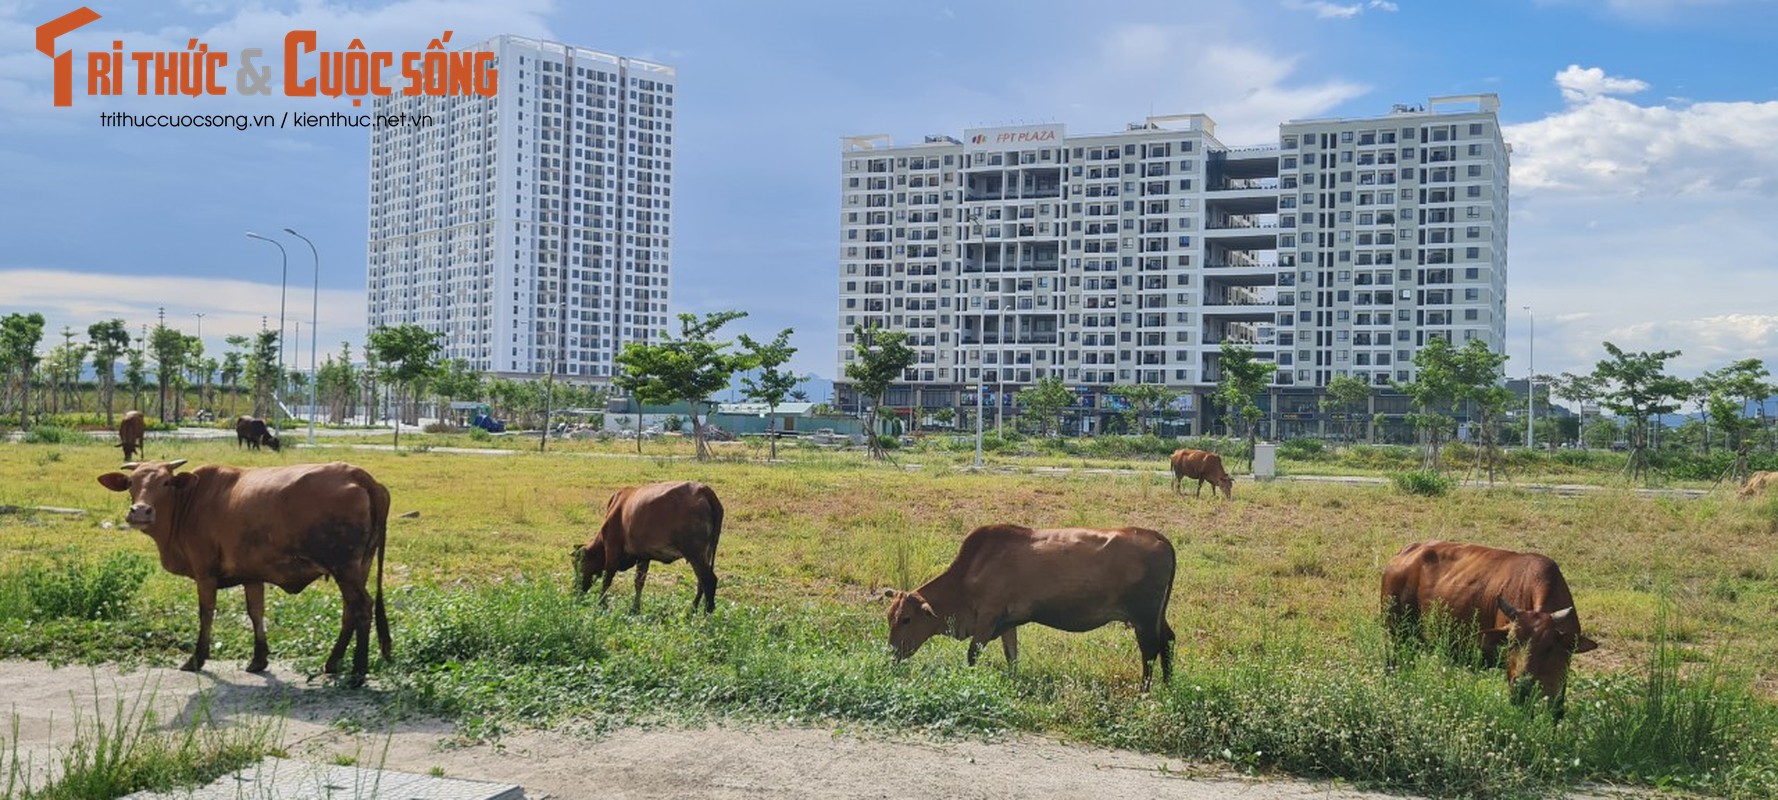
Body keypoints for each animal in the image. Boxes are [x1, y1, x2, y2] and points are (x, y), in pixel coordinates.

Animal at [93, 455, 392, 682]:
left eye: (166, 482)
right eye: (131, 483)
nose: (140, 511)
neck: (189, 501)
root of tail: (359, 475)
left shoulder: (205, 573)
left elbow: (206, 613)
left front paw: (197, 658)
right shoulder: (251, 574)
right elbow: (256, 612)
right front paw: (259, 659)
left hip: (345, 568)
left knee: (362, 608)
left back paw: (358, 672)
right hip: (358, 567)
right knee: (350, 611)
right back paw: (333, 662)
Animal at [579, 480, 725, 611]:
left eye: (578, 565)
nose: (576, 591)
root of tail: (704, 489)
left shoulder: (612, 548)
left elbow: (607, 579)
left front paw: (601, 604)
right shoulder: (643, 555)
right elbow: (639, 582)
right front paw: (635, 609)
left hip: (695, 554)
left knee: (708, 580)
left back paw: (705, 614)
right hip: (705, 554)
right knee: (701, 582)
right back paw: (692, 610)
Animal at [885, 526, 1180, 686]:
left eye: (906, 619)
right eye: (889, 617)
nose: (891, 654)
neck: (968, 575)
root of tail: (1159, 537)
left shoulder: (987, 618)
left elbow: (972, 654)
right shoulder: (1007, 622)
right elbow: (1012, 656)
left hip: (1143, 617)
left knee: (1150, 652)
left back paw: (1144, 692)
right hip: (1157, 616)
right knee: (1167, 641)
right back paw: (1167, 685)